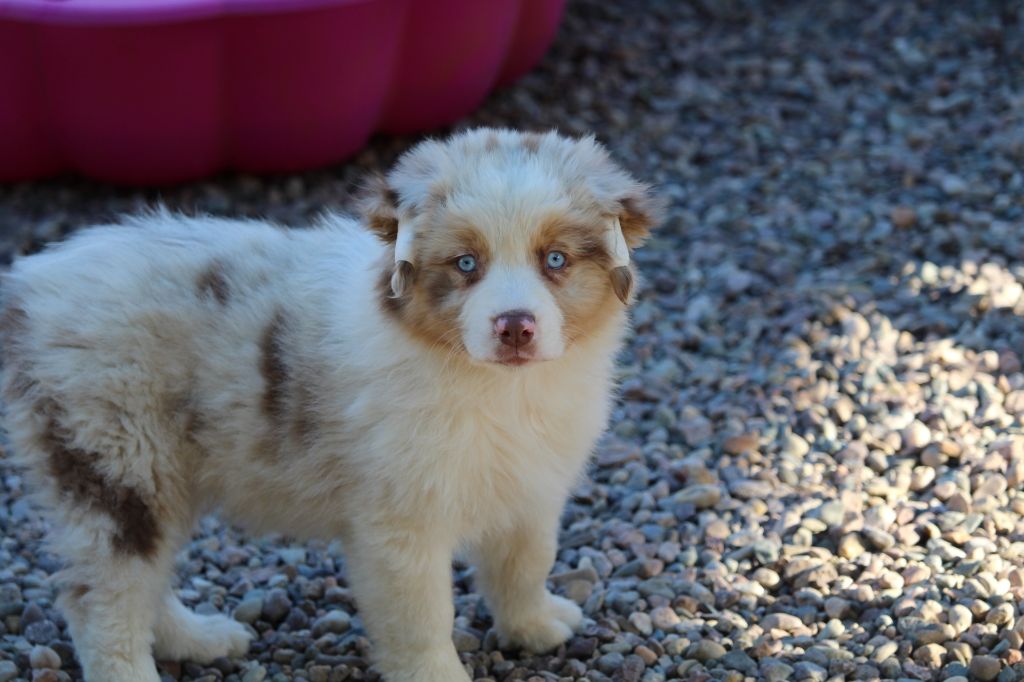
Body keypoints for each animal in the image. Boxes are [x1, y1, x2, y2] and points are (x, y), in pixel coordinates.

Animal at [2, 129, 663, 679]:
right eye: (466, 264)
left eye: (555, 260)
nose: (515, 327)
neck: (498, 389)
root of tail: (30, 284)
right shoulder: (399, 524)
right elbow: (423, 620)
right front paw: (440, 673)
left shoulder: (532, 485)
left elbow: (525, 563)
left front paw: (535, 626)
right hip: (115, 460)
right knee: (105, 599)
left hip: (160, 473)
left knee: (147, 580)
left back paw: (197, 639)